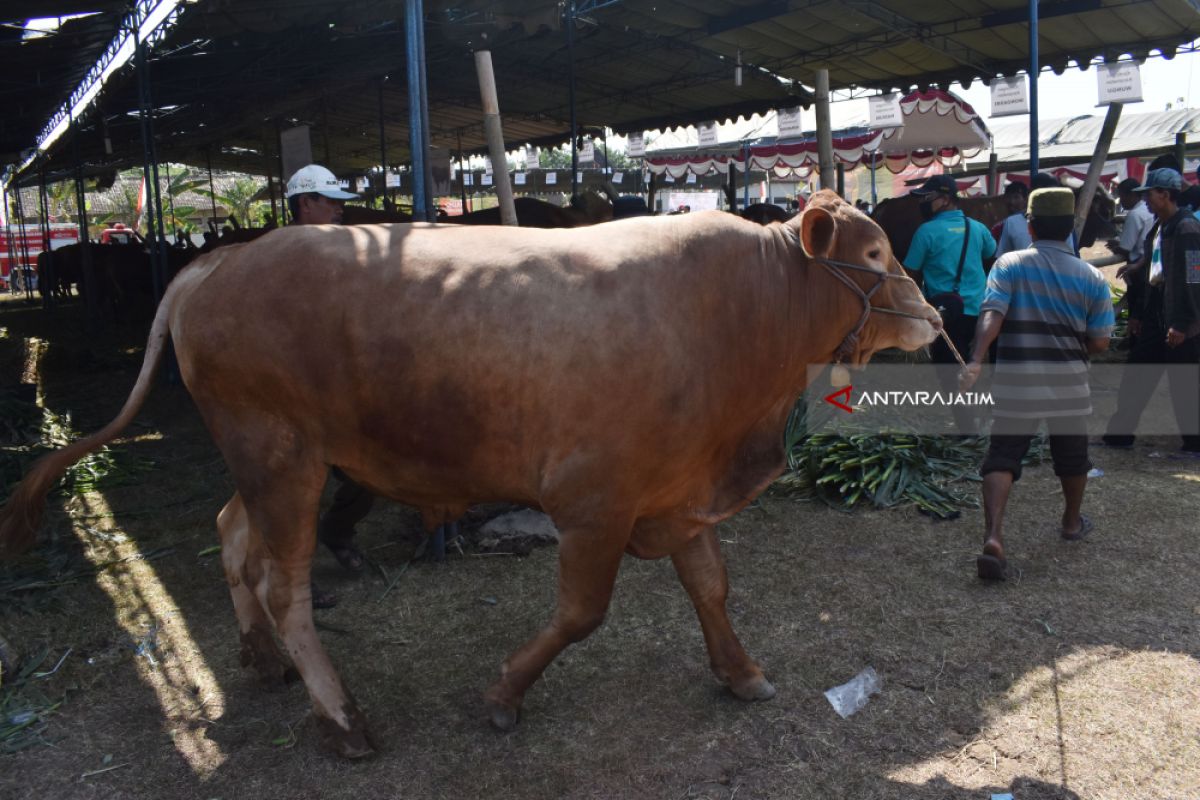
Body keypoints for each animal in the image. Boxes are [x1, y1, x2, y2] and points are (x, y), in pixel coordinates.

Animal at [0, 188, 936, 758]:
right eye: (875, 253)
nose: (931, 313)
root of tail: (220, 260)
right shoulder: (595, 504)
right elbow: (581, 614)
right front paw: (504, 693)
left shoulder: (677, 492)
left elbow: (711, 587)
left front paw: (740, 673)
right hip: (280, 457)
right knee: (283, 583)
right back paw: (341, 718)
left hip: (275, 457)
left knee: (234, 537)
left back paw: (262, 660)